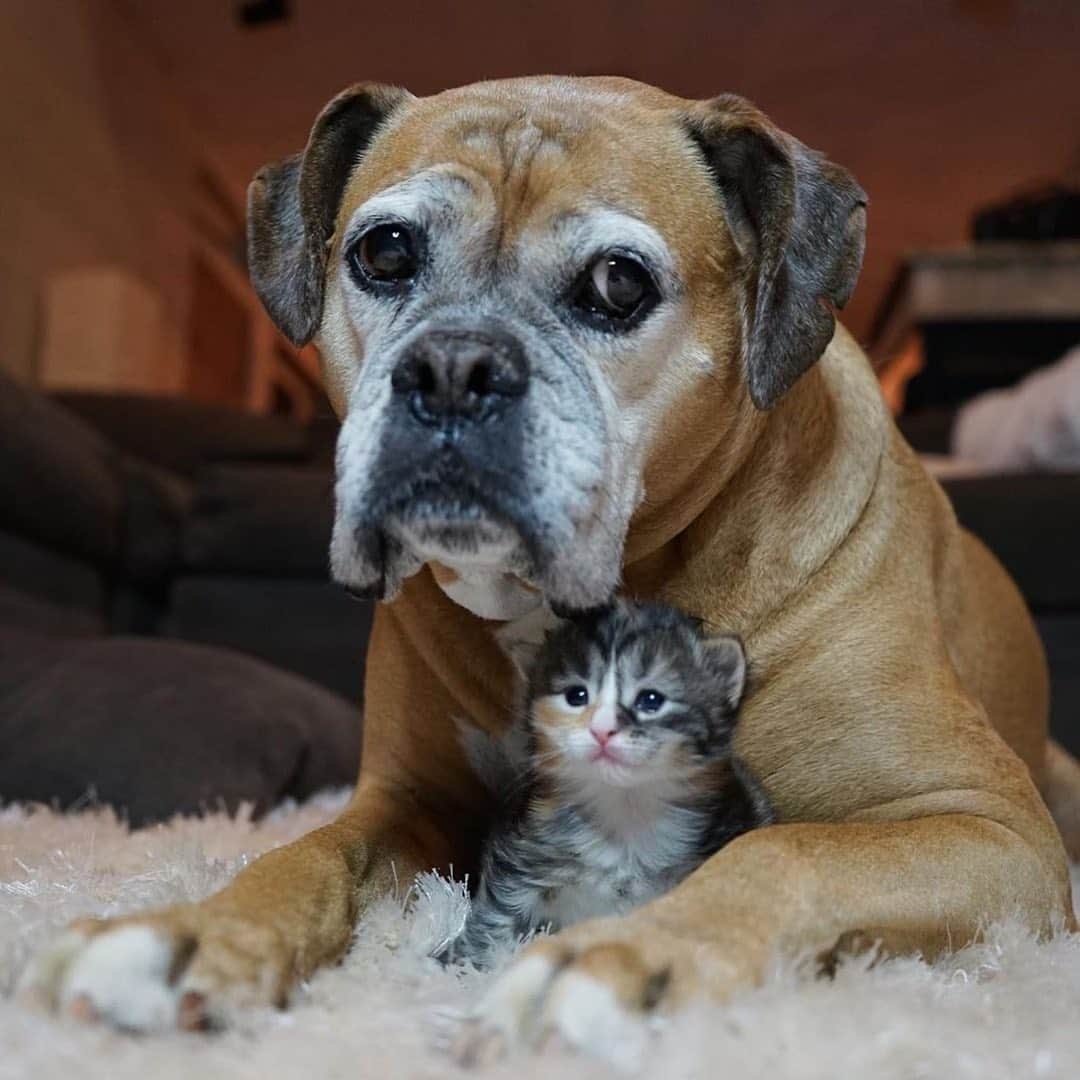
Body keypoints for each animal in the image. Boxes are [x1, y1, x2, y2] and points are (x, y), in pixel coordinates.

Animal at [440, 600, 777, 972]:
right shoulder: (520, 850)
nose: (602, 730)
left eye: (650, 700)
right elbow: (497, 911)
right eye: (576, 695)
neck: (624, 812)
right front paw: (459, 965)